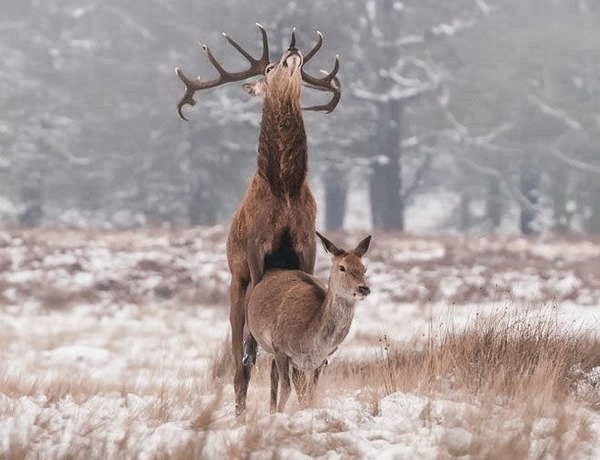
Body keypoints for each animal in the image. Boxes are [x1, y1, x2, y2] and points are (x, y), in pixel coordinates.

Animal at [175, 24, 342, 416]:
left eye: (298, 67)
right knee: (240, 362)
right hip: (235, 289)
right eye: (267, 68)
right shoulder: (255, 245)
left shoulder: (306, 243)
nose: (292, 50)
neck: (284, 190)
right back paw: (239, 409)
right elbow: (253, 354)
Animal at [247, 232, 370, 412]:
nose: (364, 288)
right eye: (342, 267)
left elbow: (311, 393)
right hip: (271, 346)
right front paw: (279, 414)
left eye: (364, 268)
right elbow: (287, 388)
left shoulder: (320, 360)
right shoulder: (280, 348)